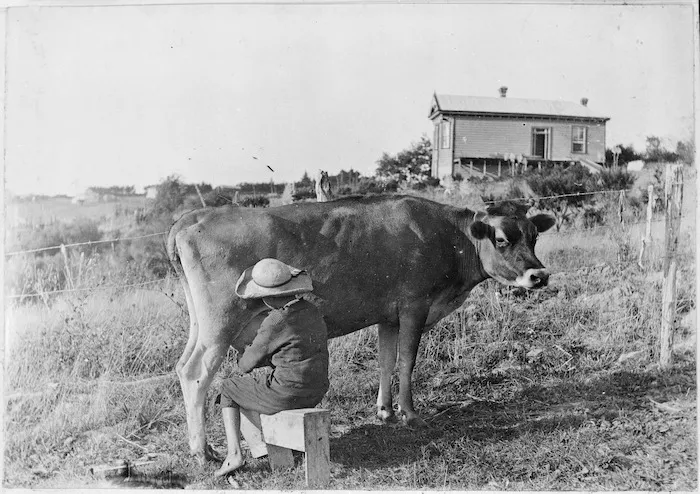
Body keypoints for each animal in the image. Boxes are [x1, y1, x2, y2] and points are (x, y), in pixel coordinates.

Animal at [166, 194, 555, 463]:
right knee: (195, 372)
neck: (448, 238)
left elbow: (385, 361)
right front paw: (411, 415)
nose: (539, 275)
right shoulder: (414, 305)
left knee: (183, 365)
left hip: (201, 321)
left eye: (534, 236)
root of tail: (196, 215)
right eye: (502, 239)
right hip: (221, 319)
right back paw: (202, 451)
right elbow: (406, 362)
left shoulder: (388, 316)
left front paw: (385, 411)